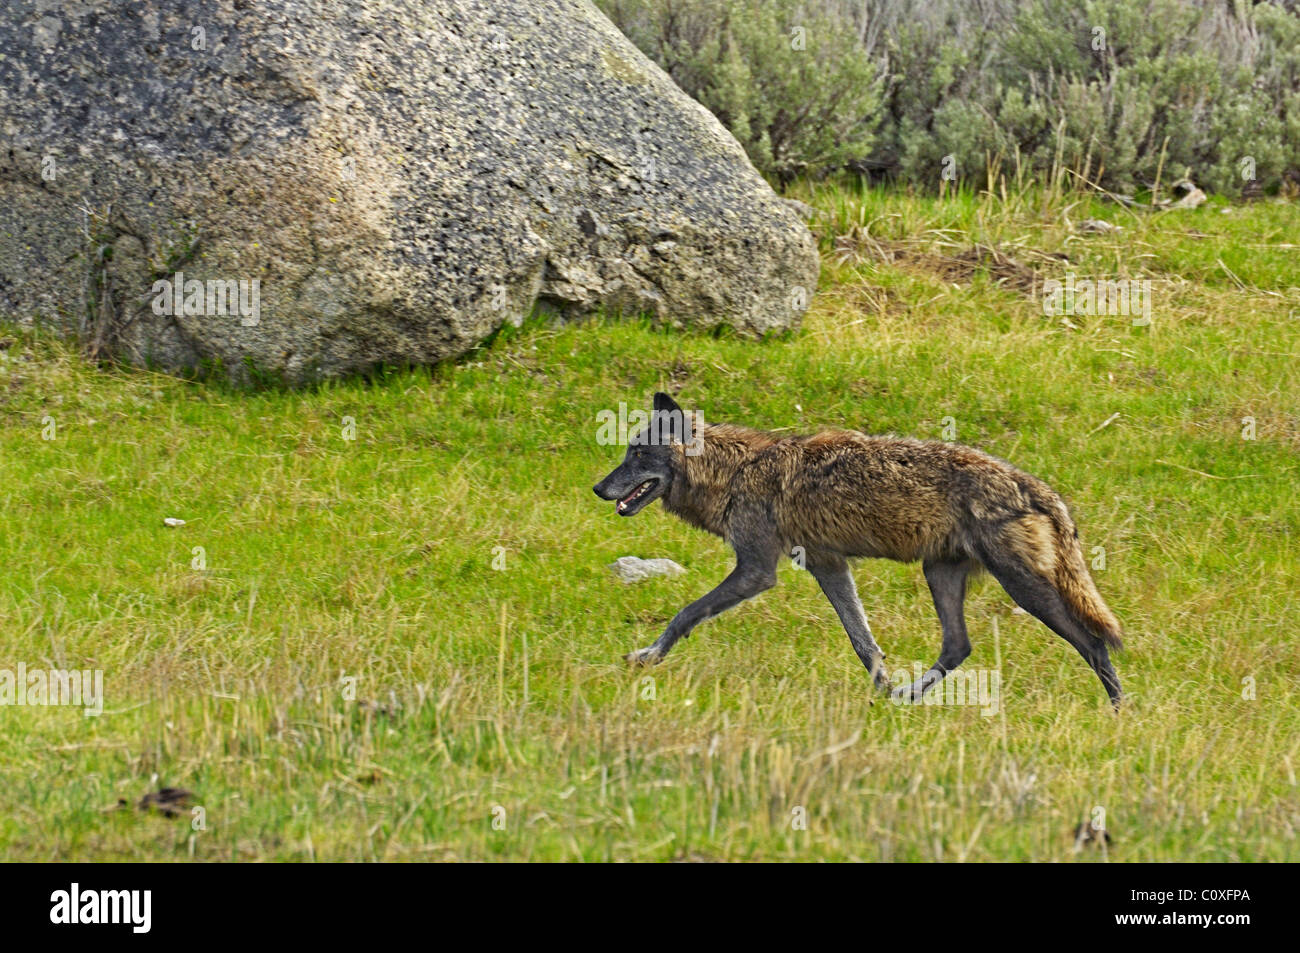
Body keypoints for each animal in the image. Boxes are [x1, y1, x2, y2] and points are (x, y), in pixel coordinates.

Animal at [593, 393, 1123, 705]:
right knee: (958, 646)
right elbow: (864, 642)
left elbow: (686, 613)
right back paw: (907, 698)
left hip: (1022, 589)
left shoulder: (757, 570)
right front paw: (881, 691)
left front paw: (647, 656)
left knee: (1095, 644)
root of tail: (1035, 486)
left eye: (637, 454)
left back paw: (1118, 712)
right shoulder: (827, 565)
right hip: (941, 576)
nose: (598, 488)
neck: (736, 472)